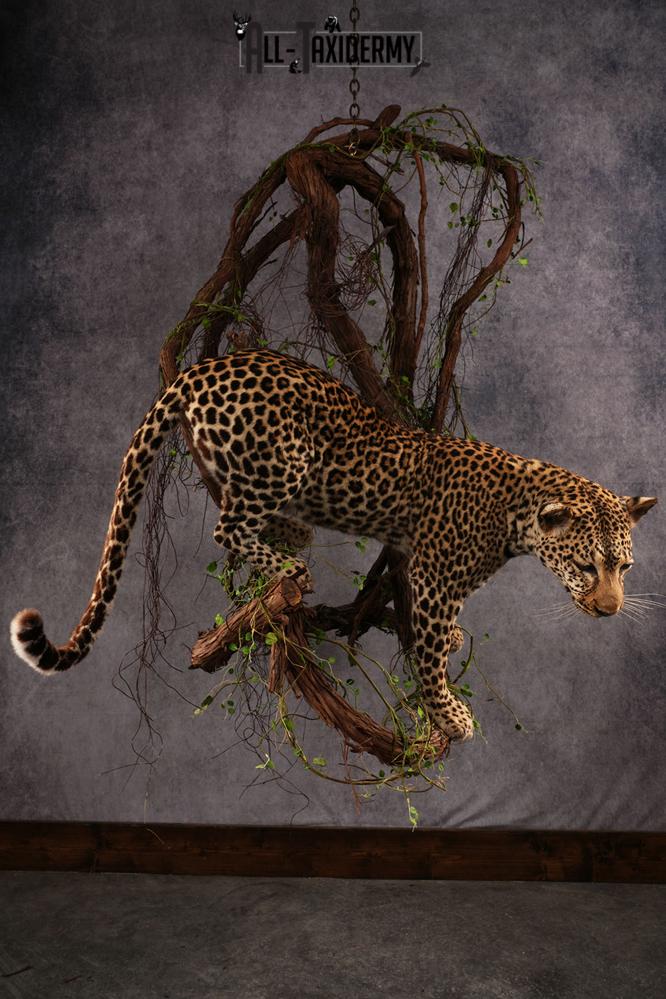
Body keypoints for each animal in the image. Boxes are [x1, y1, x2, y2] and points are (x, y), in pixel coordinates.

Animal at [10, 349, 657, 741]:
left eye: (623, 568)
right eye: (586, 566)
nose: (610, 610)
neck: (518, 519)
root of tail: (205, 365)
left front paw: (453, 644)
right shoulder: (433, 578)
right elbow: (427, 657)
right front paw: (451, 716)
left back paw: (292, 537)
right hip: (287, 460)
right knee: (227, 527)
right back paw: (290, 563)